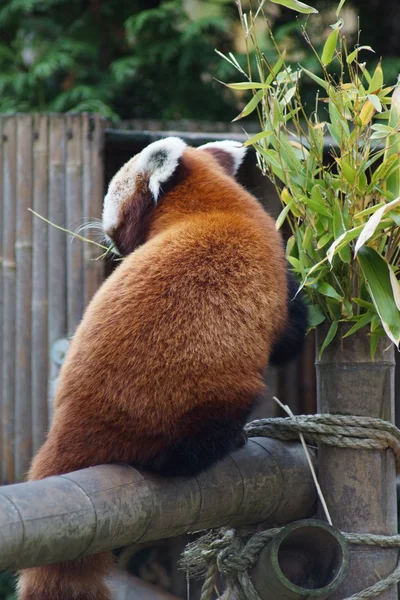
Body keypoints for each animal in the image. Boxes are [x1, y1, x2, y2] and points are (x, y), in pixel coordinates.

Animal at [18, 138, 306, 596]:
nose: (113, 245)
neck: (215, 204)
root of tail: (68, 423)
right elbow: (288, 338)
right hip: (197, 395)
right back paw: (223, 444)